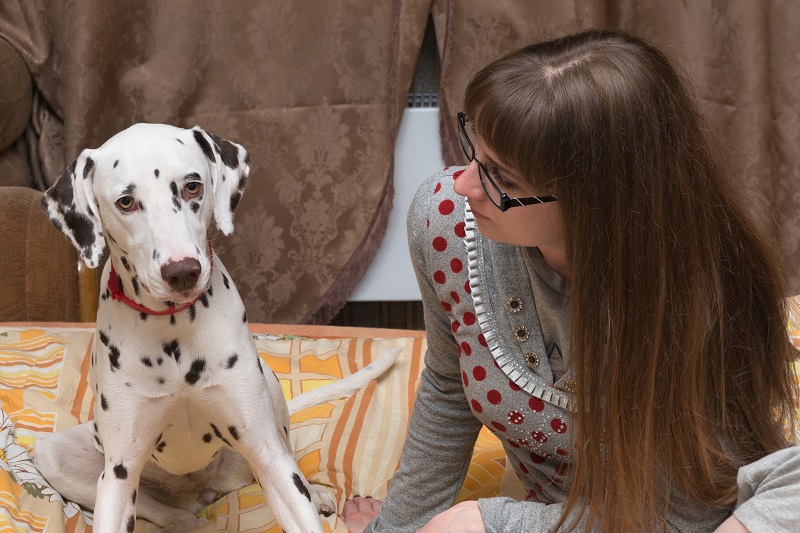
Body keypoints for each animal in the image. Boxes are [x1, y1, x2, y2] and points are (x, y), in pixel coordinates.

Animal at [34, 122, 400, 528]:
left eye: (192, 186)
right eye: (126, 202)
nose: (182, 271)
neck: (173, 329)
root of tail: (201, 490)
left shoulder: (268, 454)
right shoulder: (119, 472)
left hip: (270, 397)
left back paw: (317, 492)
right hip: (57, 456)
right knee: (166, 511)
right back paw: (188, 522)